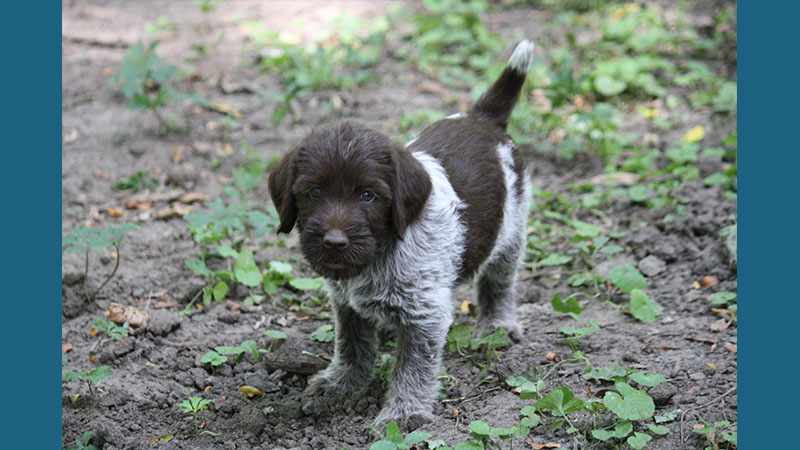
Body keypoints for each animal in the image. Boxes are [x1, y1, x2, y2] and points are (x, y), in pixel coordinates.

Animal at [268, 39, 536, 428]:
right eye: (313, 192)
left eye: (368, 195)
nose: (334, 242)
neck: (380, 252)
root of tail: (482, 118)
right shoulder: (346, 303)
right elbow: (352, 346)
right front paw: (341, 383)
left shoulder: (425, 314)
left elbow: (413, 368)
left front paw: (404, 413)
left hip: (512, 229)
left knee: (499, 281)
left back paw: (497, 325)